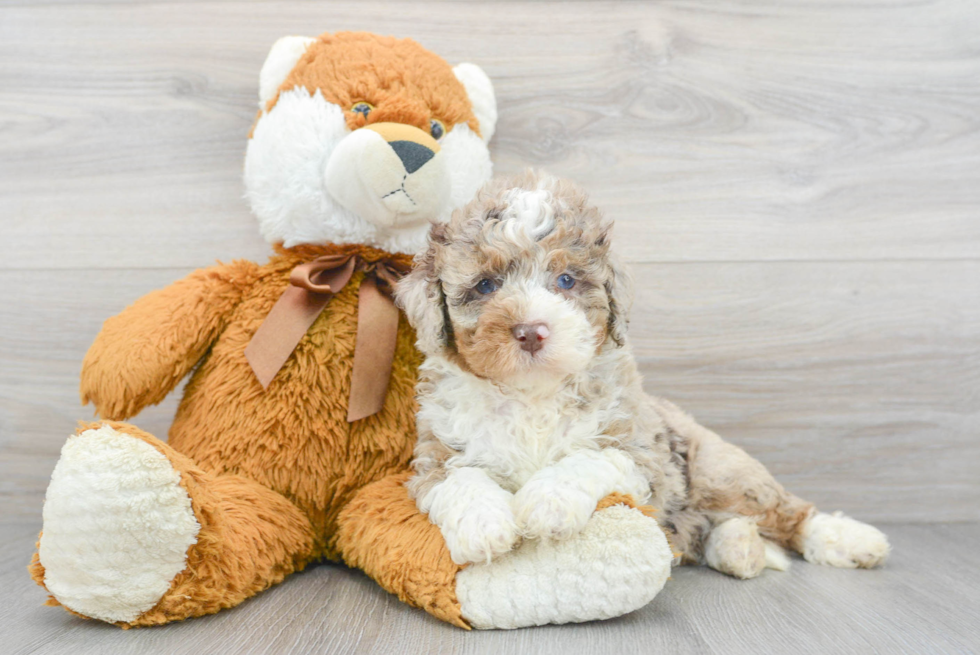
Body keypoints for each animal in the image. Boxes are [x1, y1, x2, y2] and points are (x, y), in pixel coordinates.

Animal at [394, 170, 892, 580]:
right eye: (486, 286)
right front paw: (484, 525)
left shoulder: (641, 453)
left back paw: (851, 540)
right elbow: (460, 480)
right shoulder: (435, 456)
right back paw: (738, 548)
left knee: (787, 512)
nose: (531, 331)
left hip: (720, 471)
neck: (532, 395)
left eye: (566, 281)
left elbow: (586, 459)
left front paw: (547, 502)